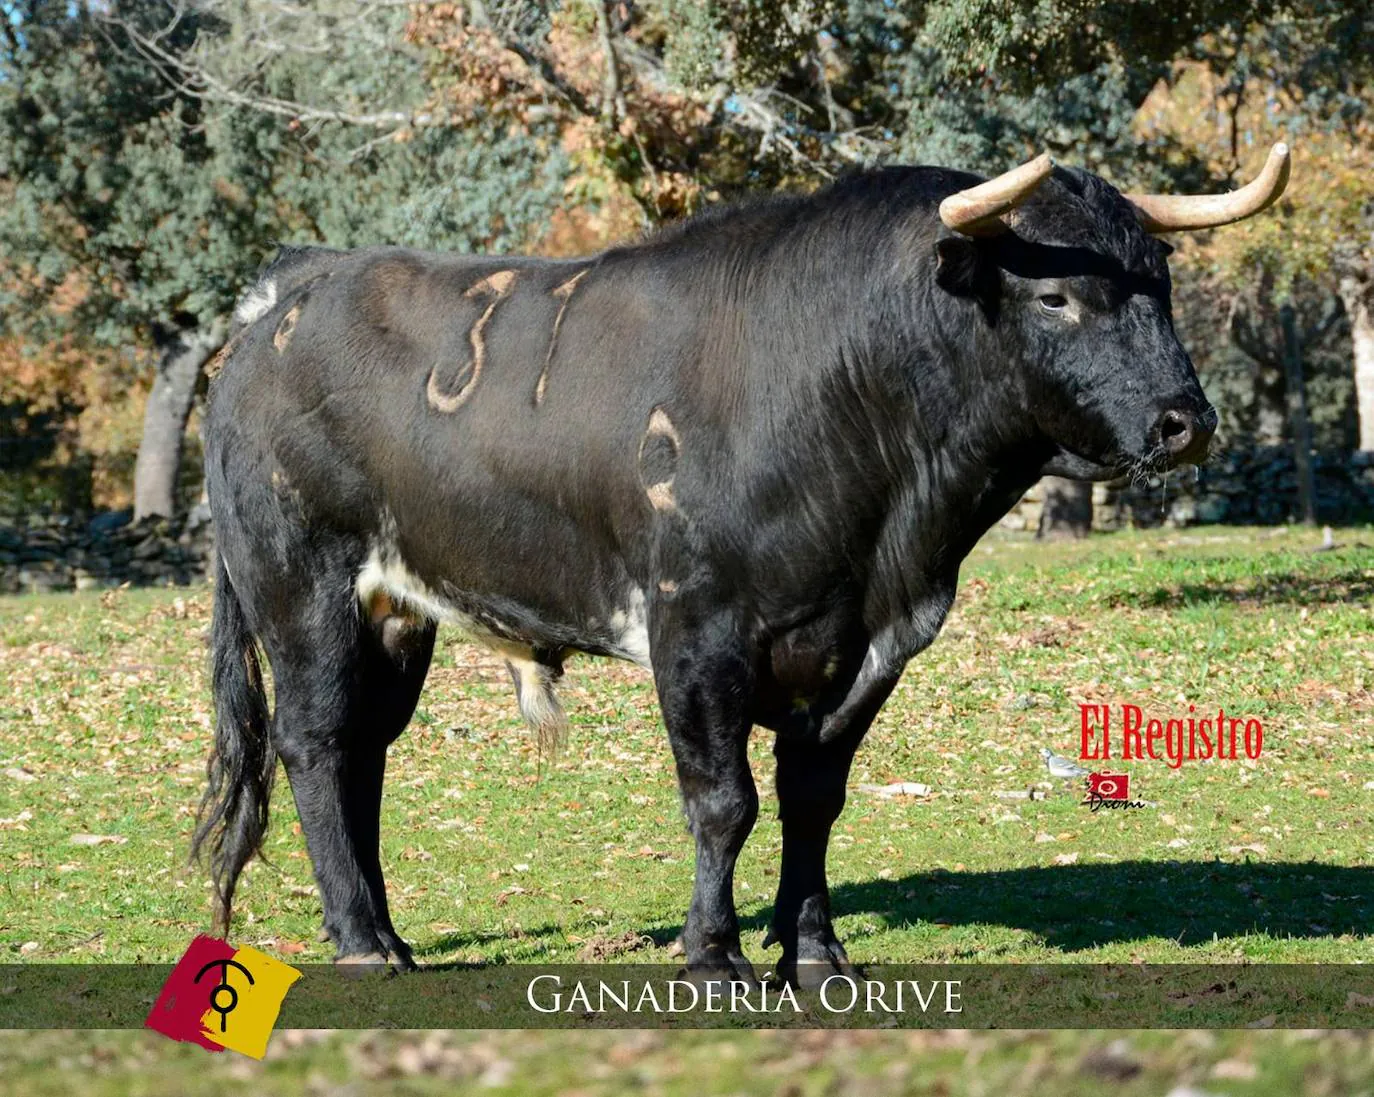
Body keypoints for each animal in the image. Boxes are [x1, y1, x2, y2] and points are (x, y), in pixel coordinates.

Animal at [196, 163, 1225, 989]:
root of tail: (290, 292)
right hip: (302, 587)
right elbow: (725, 800)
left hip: (396, 613)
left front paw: (815, 948)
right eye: (1056, 298)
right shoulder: (696, 631)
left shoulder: (870, 645)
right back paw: (361, 940)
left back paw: (386, 930)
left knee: (365, 752)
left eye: (1164, 284)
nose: (1186, 420)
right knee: (316, 742)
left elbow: (814, 798)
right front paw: (715, 953)